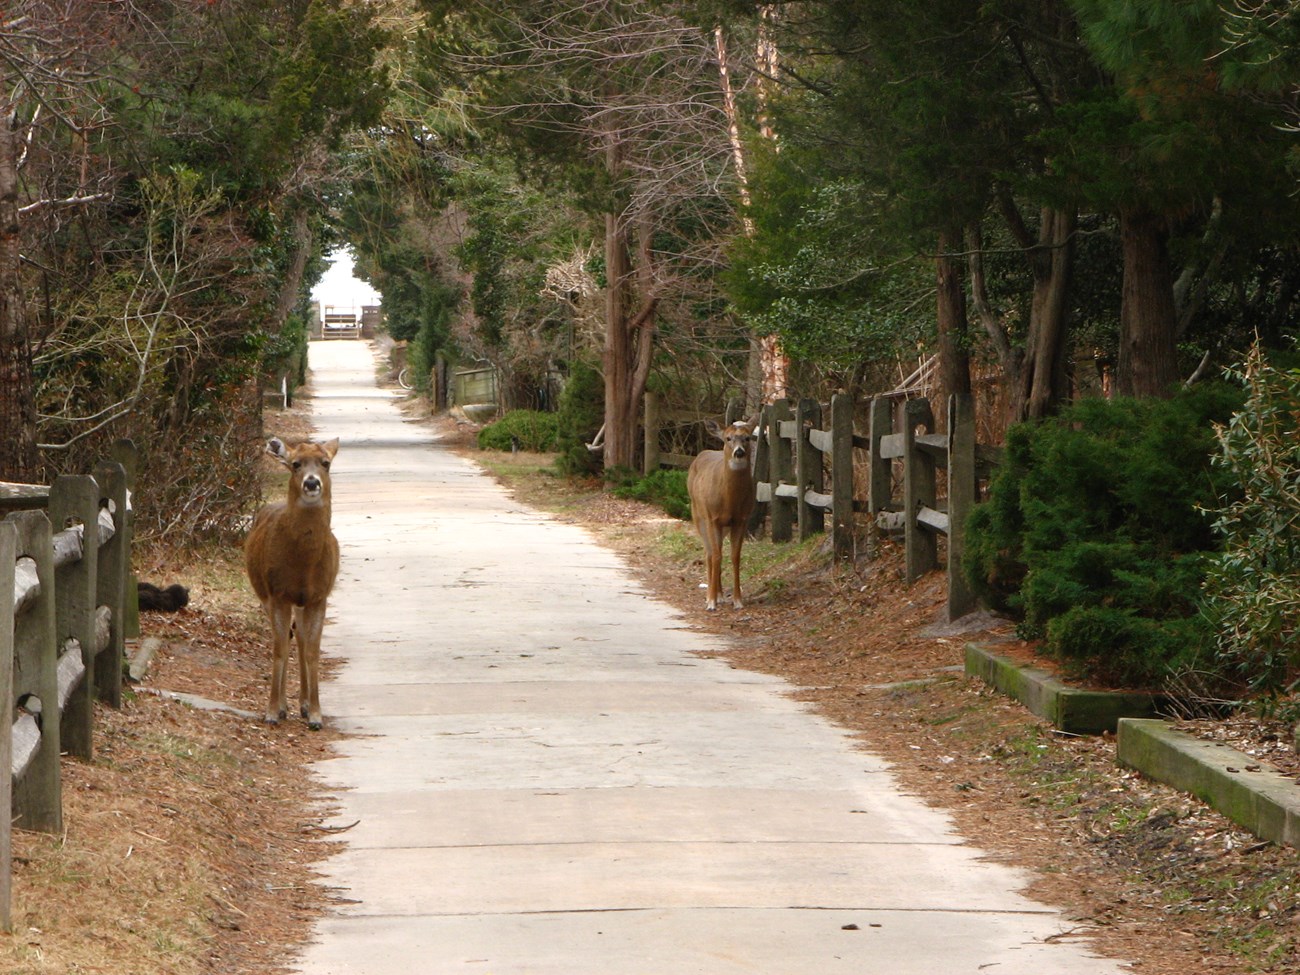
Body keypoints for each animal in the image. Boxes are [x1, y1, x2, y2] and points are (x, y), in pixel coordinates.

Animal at [241, 439, 338, 728]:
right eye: (296, 464)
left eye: (326, 463)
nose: (311, 482)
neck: (303, 567)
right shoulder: (278, 594)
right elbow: (279, 649)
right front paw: (273, 711)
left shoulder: (319, 596)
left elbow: (313, 650)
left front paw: (316, 714)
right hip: (265, 595)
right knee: (287, 638)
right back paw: (286, 706)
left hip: (301, 602)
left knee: (302, 639)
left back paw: (304, 704)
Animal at [686, 418, 759, 611]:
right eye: (728, 438)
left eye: (747, 438)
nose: (739, 452)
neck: (729, 501)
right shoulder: (712, 518)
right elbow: (717, 555)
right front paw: (711, 602)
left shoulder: (742, 520)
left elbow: (735, 556)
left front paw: (737, 600)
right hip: (698, 514)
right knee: (710, 553)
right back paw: (711, 595)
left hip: (723, 526)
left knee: (715, 551)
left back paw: (719, 593)